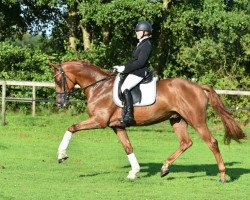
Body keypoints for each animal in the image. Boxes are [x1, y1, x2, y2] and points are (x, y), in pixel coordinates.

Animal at [49, 60, 245, 182]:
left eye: (58, 79)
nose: (59, 103)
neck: (99, 87)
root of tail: (198, 86)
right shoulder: (117, 126)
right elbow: (128, 147)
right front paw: (134, 172)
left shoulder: (99, 120)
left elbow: (71, 128)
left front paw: (61, 155)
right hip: (177, 120)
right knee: (185, 142)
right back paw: (165, 168)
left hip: (196, 120)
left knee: (212, 142)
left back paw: (222, 176)